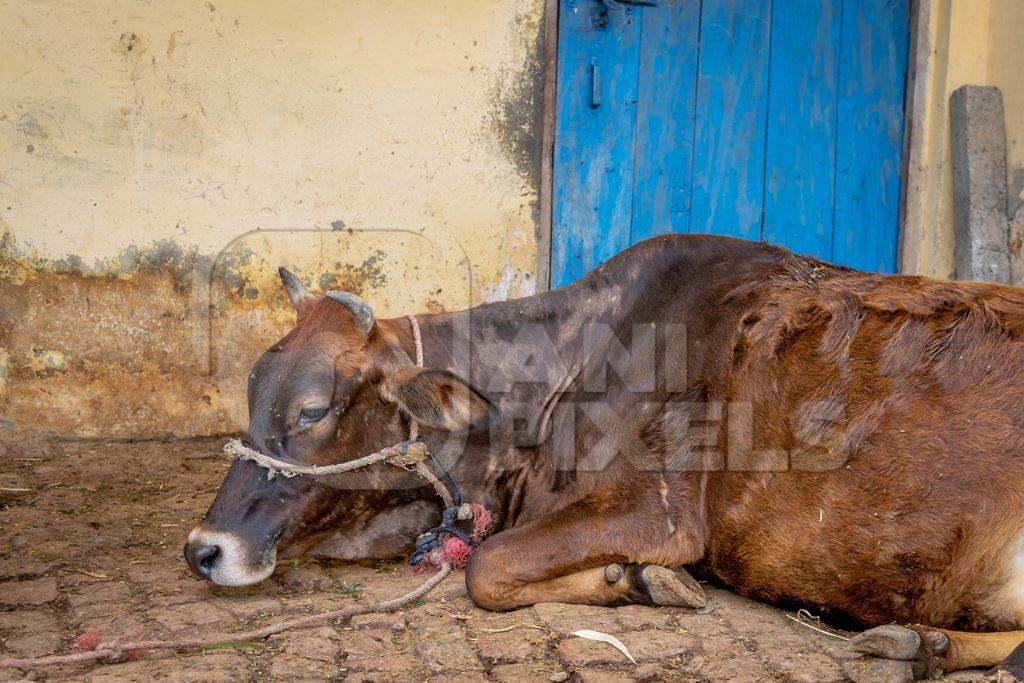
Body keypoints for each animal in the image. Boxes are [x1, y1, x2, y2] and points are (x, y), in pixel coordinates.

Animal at [186, 236, 1024, 679]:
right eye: (251, 389)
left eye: (312, 409)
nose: (202, 548)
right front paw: (639, 580)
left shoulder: (660, 509)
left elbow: (486, 568)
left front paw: (639, 580)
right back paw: (920, 641)